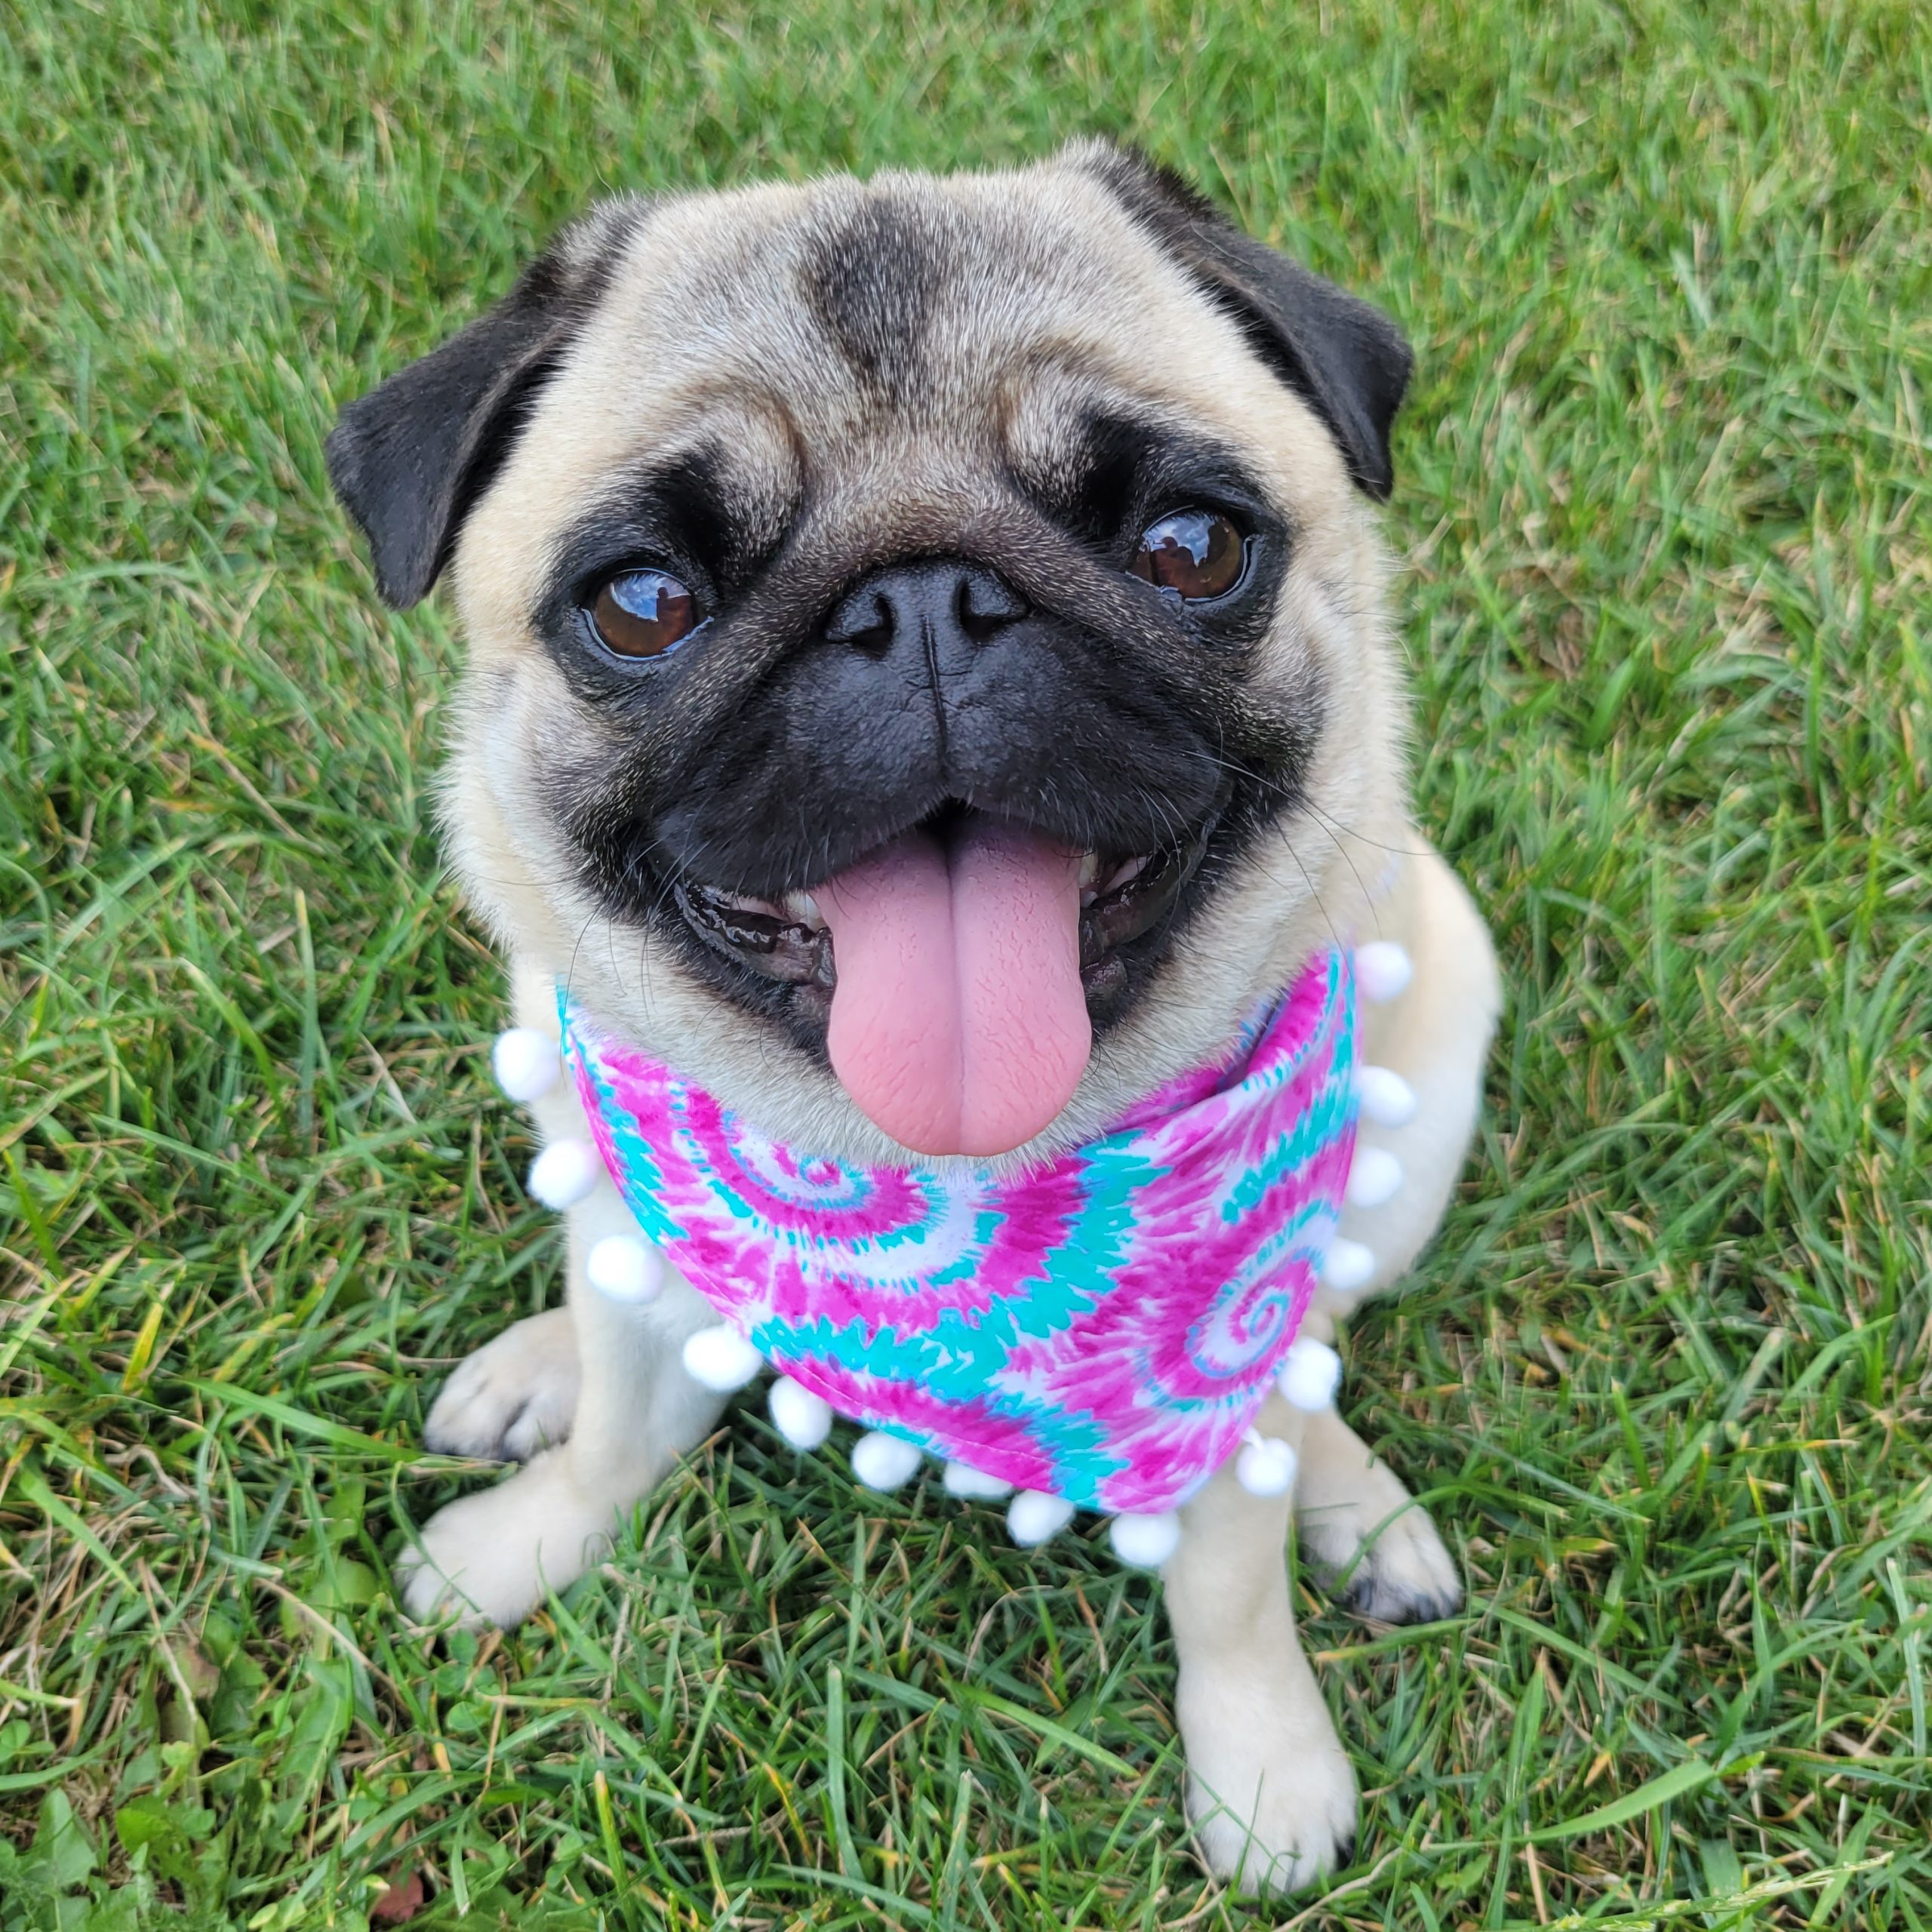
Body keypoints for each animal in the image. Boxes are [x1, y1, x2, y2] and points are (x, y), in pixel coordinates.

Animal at [326, 140, 1500, 1894]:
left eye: (1187, 547)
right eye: (644, 602)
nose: (925, 606)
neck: (924, 1181)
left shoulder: (1222, 1375)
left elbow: (1228, 1579)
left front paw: (1262, 1764)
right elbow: (617, 1433)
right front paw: (526, 1540)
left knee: (1321, 1342)